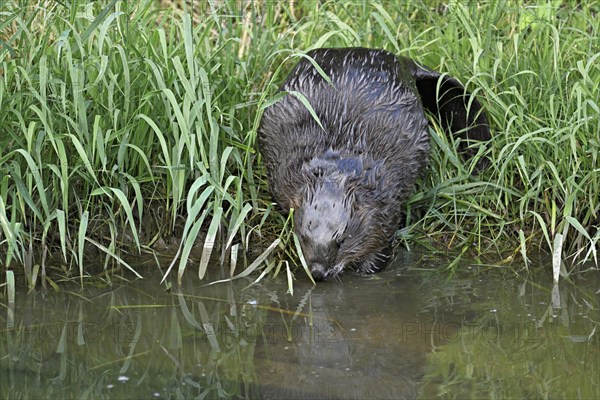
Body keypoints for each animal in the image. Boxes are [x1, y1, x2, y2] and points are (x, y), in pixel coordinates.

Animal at [256, 47, 488, 282]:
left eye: (341, 241)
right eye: (303, 237)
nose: (319, 272)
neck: (338, 171)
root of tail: (404, 62)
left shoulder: (386, 202)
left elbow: (381, 244)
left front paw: (366, 270)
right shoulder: (282, 177)